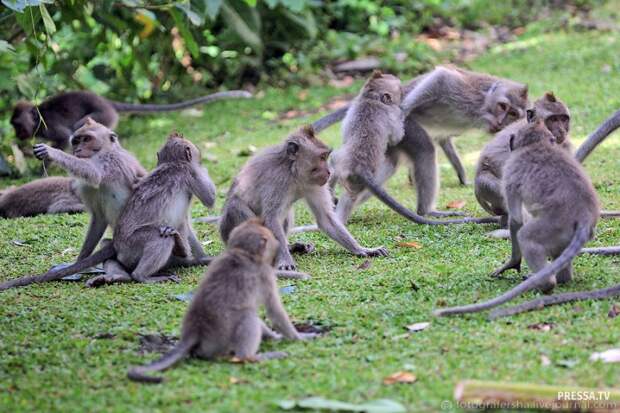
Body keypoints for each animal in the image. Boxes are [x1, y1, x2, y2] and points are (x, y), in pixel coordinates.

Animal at [34, 119, 147, 260]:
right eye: (76, 141)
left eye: (87, 139)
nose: (78, 149)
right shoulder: (86, 187)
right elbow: (99, 218)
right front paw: (80, 260)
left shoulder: (109, 159)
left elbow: (95, 173)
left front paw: (52, 152)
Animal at [128, 219, 318, 384]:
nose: (278, 246)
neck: (242, 253)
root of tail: (193, 332)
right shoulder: (265, 274)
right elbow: (275, 311)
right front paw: (299, 337)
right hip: (220, 342)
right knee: (247, 317)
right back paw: (255, 356)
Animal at [216, 124, 386, 272]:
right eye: (322, 157)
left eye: (326, 156)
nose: (329, 171)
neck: (294, 173)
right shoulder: (278, 180)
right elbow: (272, 218)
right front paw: (285, 260)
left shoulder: (315, 184)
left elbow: (325, 218)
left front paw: (363, 249)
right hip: (227, 231)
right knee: (236, 206)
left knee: (287, 213)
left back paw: (291, 247)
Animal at [432, 108, 600, 316]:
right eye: (554, 121)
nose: (561, 132)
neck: (537, 145)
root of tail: (585, 217)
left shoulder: (512, 171)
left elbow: (517, 220)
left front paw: (512, 262)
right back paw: (562, 279)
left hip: (554, 227)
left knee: (526, 237)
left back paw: (545, 283)